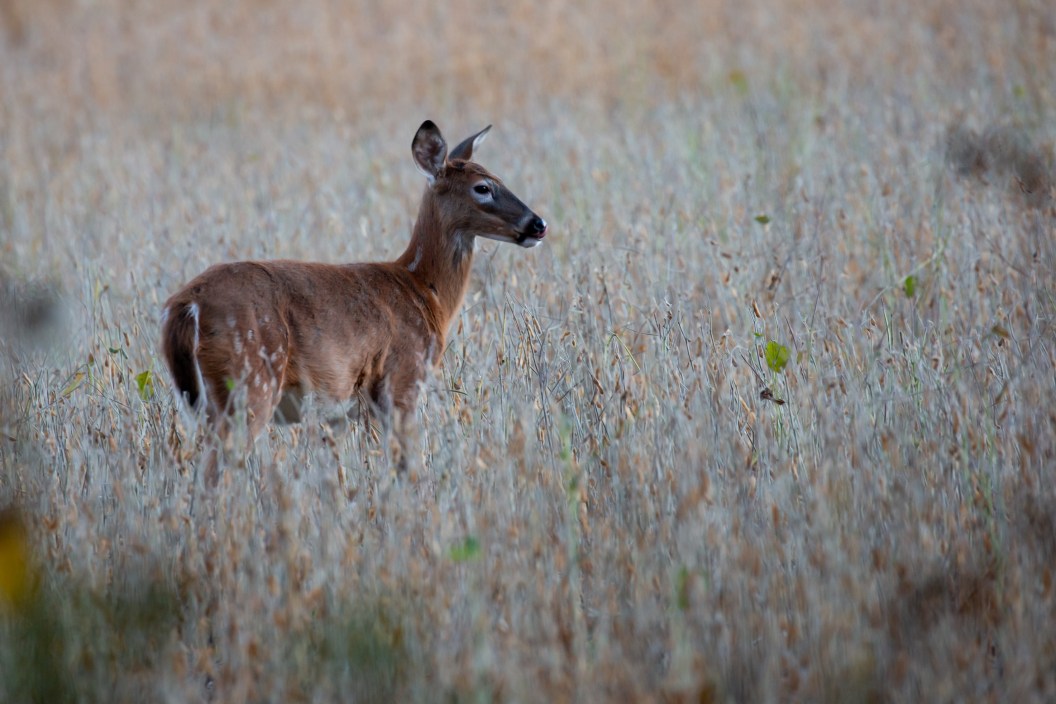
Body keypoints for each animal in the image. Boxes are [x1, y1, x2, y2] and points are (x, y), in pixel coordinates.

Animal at [160, 120, 547, 484]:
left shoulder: (339, 413)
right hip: (249, 382)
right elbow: (408, 468)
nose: (538, 224)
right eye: (483, 187)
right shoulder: (400, 379)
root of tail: (184, 307)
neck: (422, 290)